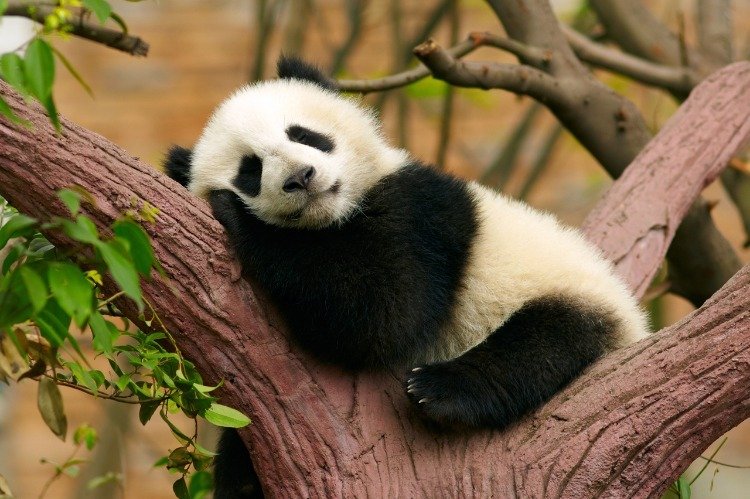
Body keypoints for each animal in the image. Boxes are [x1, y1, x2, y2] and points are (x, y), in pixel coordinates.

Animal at [165, 57, 649, 498]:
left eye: (302, 134)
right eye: (250, 170)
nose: (301, 177)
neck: (334, 217)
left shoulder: (421, 213)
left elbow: (384, 311)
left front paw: (238, 216)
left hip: (570, 291)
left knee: (544, 341)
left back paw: (440, 390)